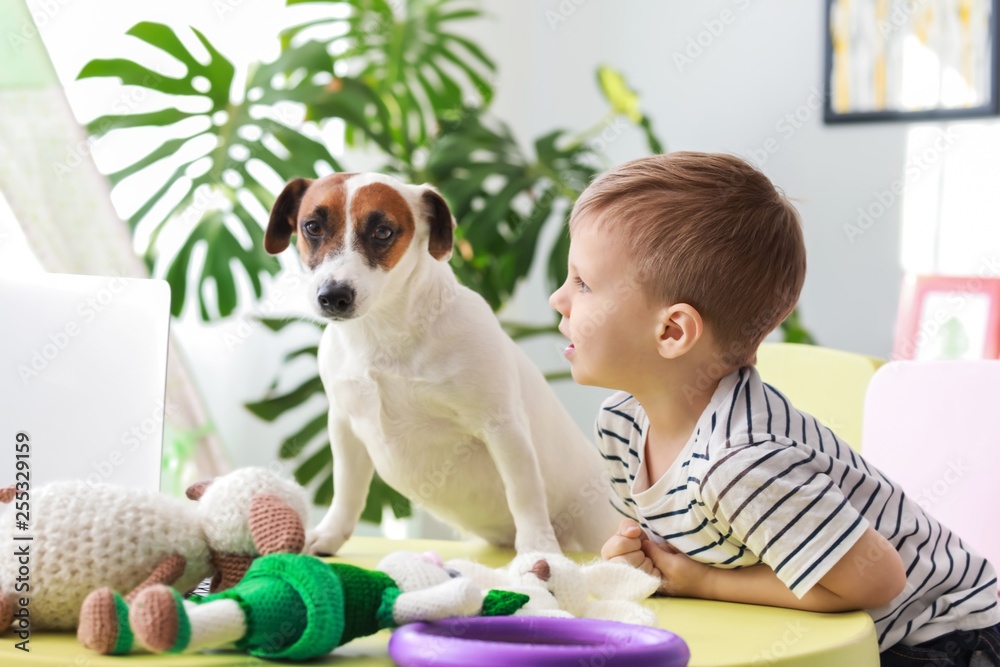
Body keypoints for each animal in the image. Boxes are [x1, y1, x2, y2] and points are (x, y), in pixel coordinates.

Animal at [264, 170, 624, 556]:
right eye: (312, 227)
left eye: (383, 232)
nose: (333, 296)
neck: (384, 333)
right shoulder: (344, 427)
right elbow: (347, 489)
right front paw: (330, 534)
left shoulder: (503, 427)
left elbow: (524, 493)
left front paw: (537, 551)